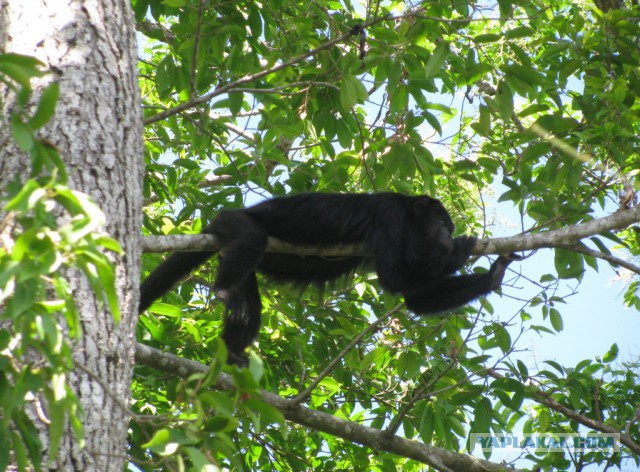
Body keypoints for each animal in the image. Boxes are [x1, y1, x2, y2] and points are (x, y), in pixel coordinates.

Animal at [140, 192, 516, 366]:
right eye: (441, 223)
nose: (449, 237)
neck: (411, 220)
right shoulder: (390, 215)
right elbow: (395, 278)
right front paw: (461, 252)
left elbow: (414, 299)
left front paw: (493, 276)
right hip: (232, 221)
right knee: (251, 237)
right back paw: (221, 290)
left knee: (250, 308)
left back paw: (232, 352)